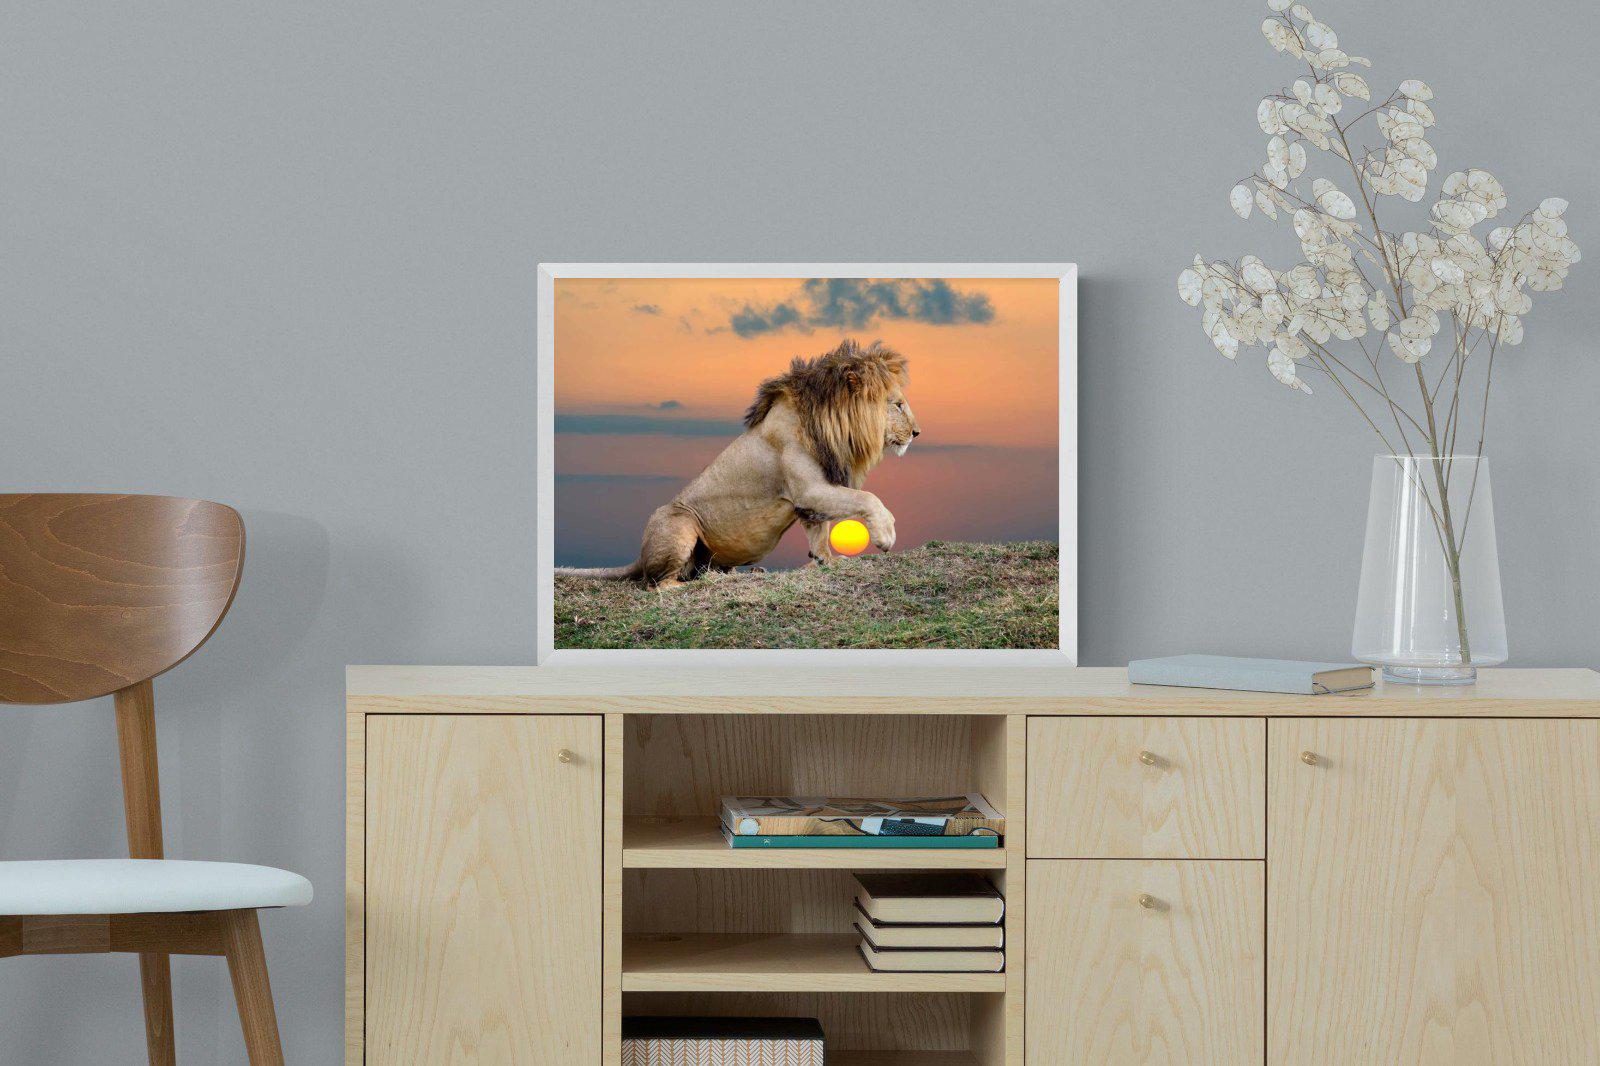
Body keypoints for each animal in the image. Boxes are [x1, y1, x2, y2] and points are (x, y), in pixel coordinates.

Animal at [557, 339, 921, 586]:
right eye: (898, 404)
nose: (917, 432)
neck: (830, 426)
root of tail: (640, 555)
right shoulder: (809, 489)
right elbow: (867, 498)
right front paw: (885, 534)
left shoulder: (810, 497)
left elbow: (819, 532)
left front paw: (826, 561)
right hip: (679, 522)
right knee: (660, 583)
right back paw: (708, 582)